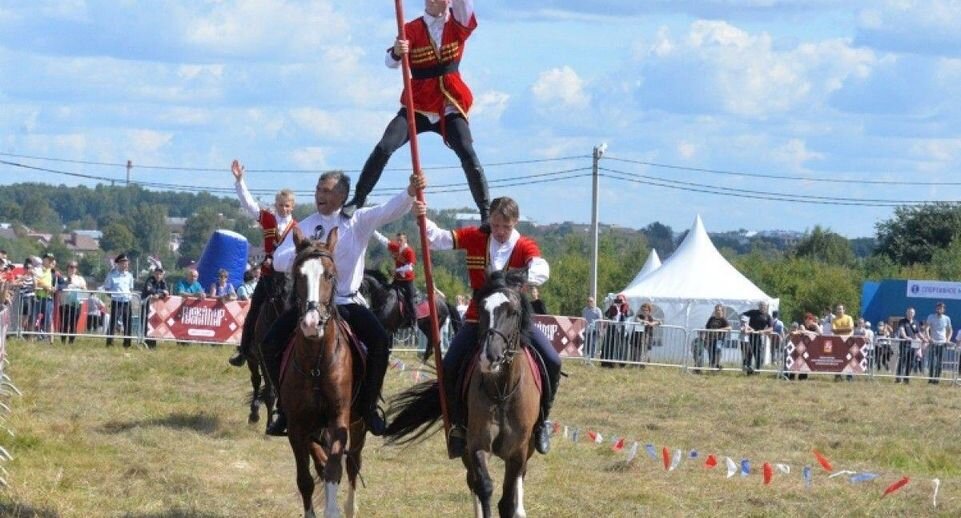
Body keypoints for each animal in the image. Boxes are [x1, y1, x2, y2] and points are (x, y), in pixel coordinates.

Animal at [284, 230, 368, 516]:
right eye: (298, 275)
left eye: (329, 275)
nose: (311, 323)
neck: (316, 365)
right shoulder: (297, 425)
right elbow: (306, 479)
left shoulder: (339, 419)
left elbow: (333, 470)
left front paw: (334, 510)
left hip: (358, 422)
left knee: (352, 464)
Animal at [386, 270, 544, 518]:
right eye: (482, 309)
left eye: (513, 312)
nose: (490, 357)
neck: (502, 391)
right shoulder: (477, 444)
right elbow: (485, 488)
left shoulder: (517, 452)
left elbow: (507, 499)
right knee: (474, 483)